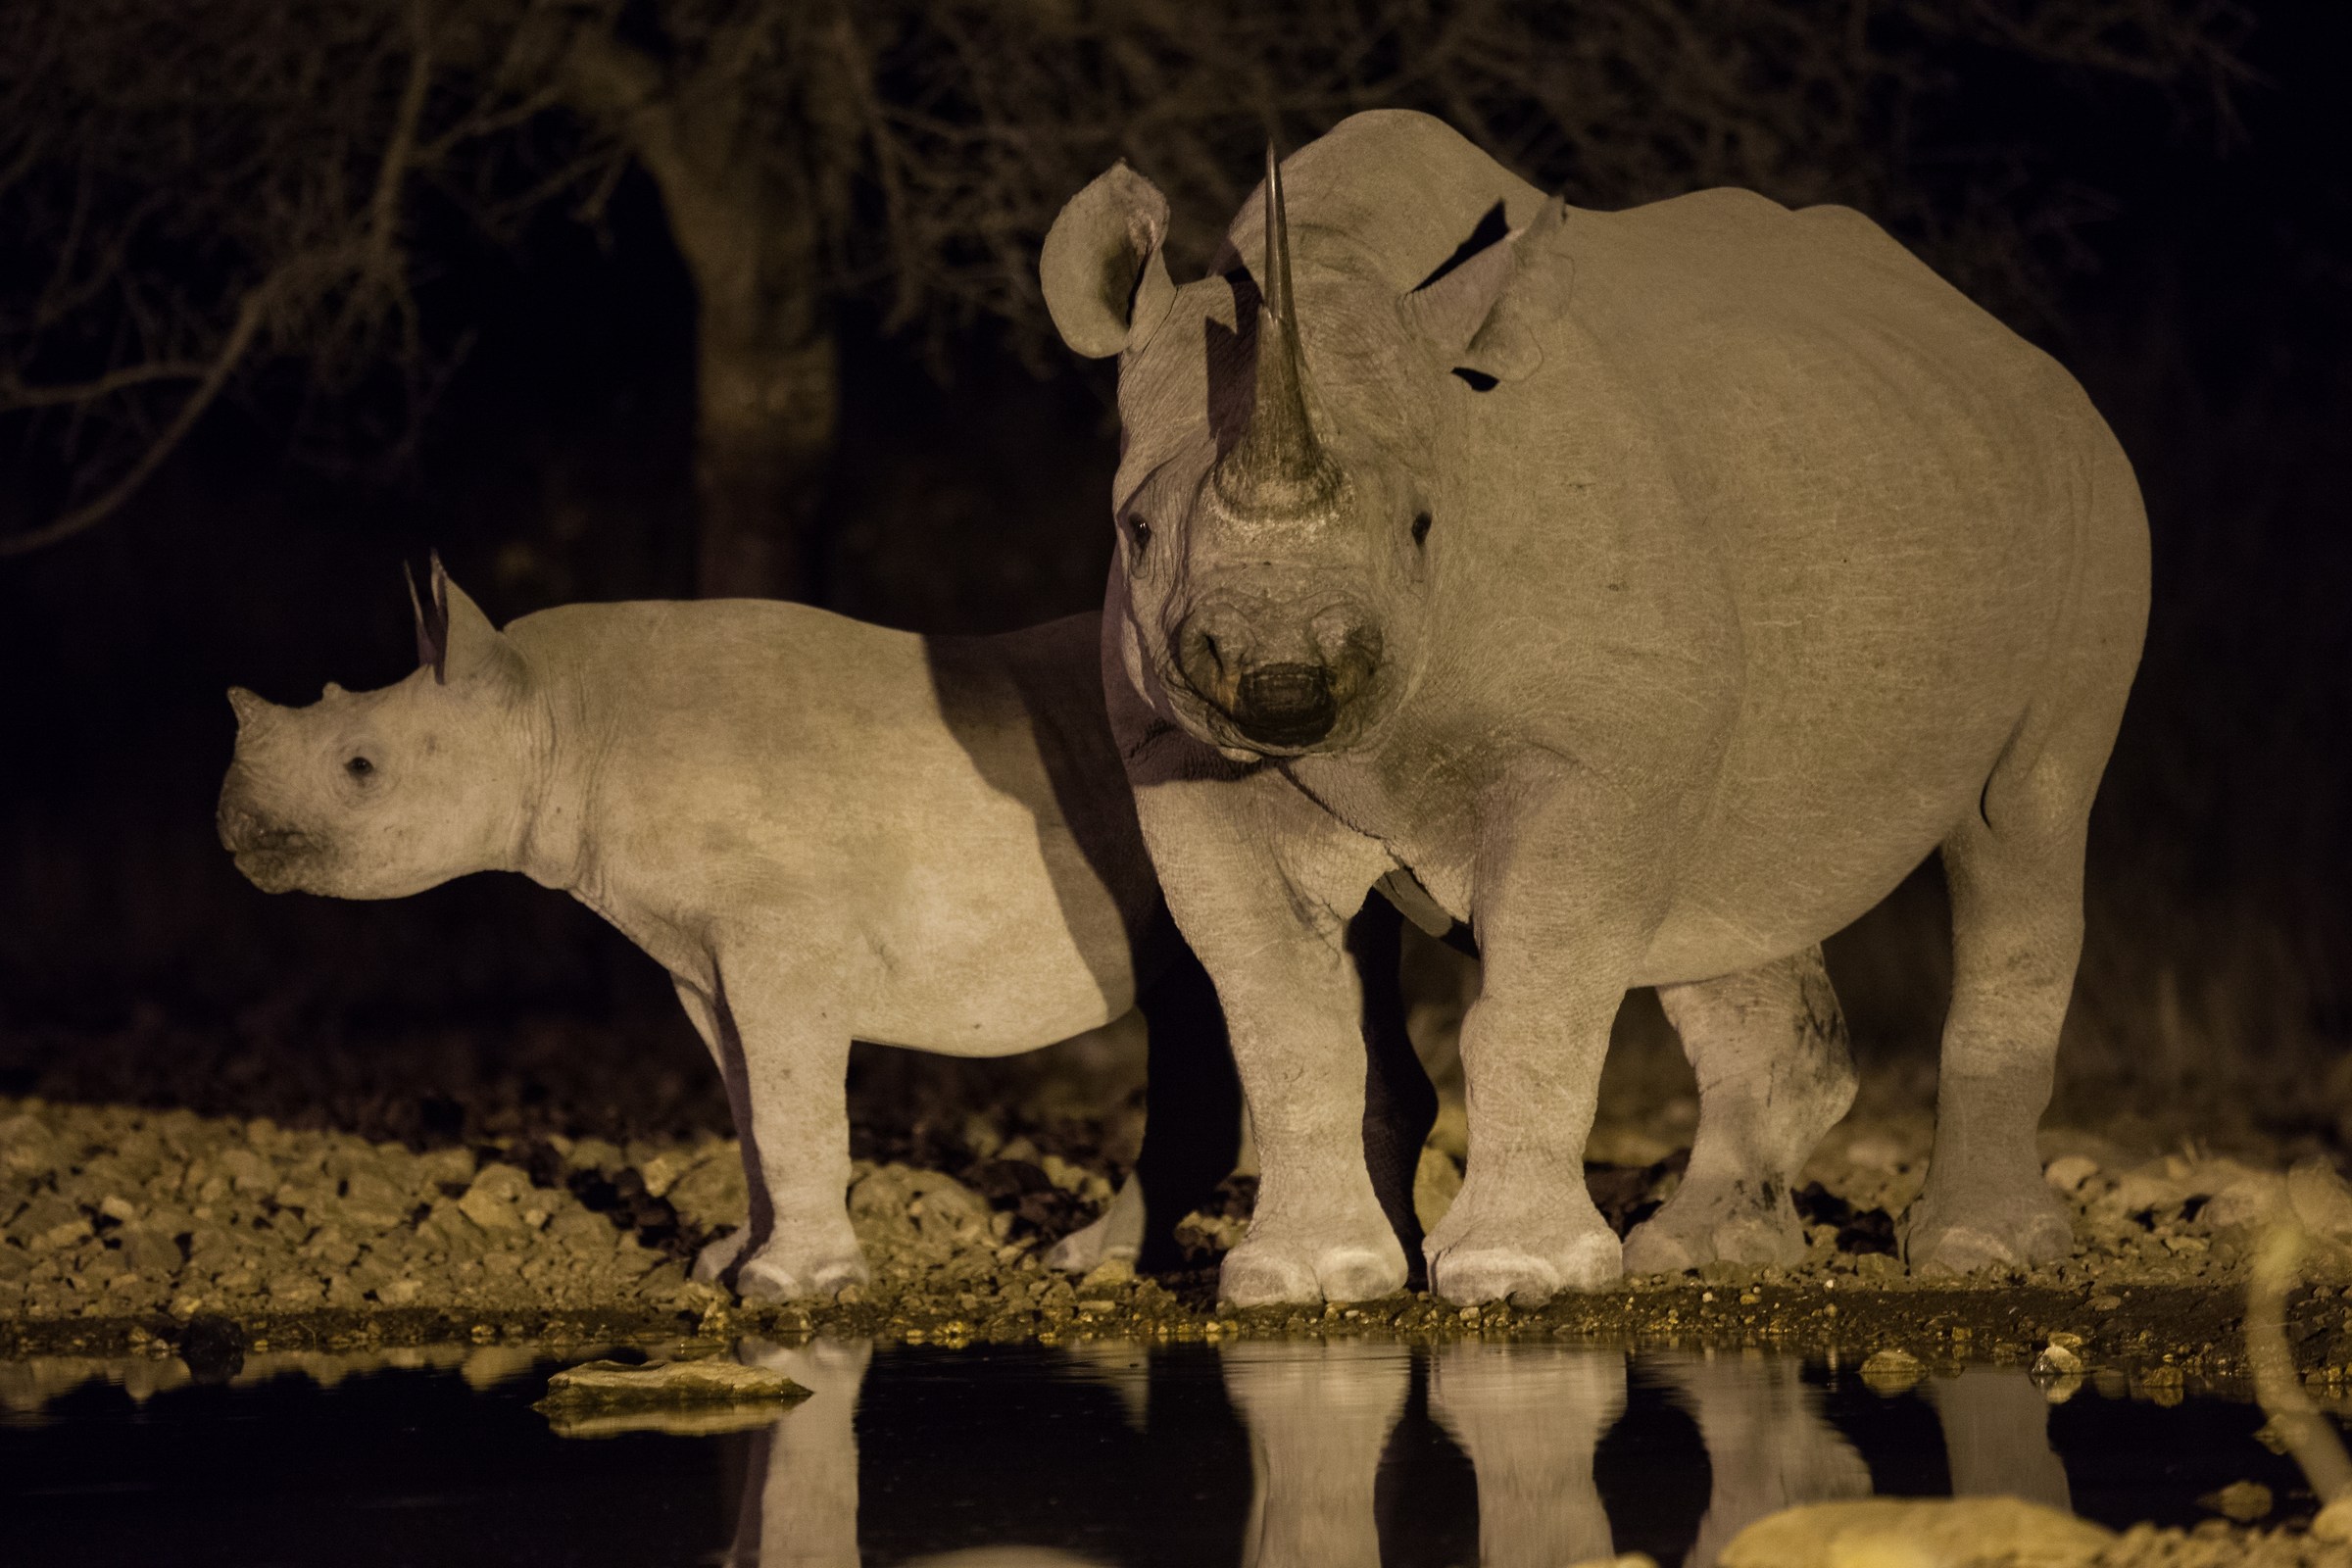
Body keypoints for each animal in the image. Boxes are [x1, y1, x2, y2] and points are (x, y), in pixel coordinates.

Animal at [215, 558, 1438, 1298]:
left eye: (360, 768)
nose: (233, 828)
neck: (545, 713)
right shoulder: (697, 956)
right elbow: (749, 1100)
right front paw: (727, 1258)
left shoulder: (774, 936)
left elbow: (792, 1101)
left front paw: (791, 1285)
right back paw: (1105, 1259)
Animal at [1041, 110, 2148, 1305]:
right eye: (1138, 529)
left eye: (1423, 526)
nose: (1281, 679)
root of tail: (2015, 351)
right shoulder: (1179, 755)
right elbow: (1288, 1020)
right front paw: (1310, 1276)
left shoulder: (1594, 752)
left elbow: (1538, 991)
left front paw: (1518, 1271)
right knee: (1734, 874)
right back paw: (1701, 1246)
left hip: (2090, 495)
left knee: (2022, 817)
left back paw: (1979, 1251)